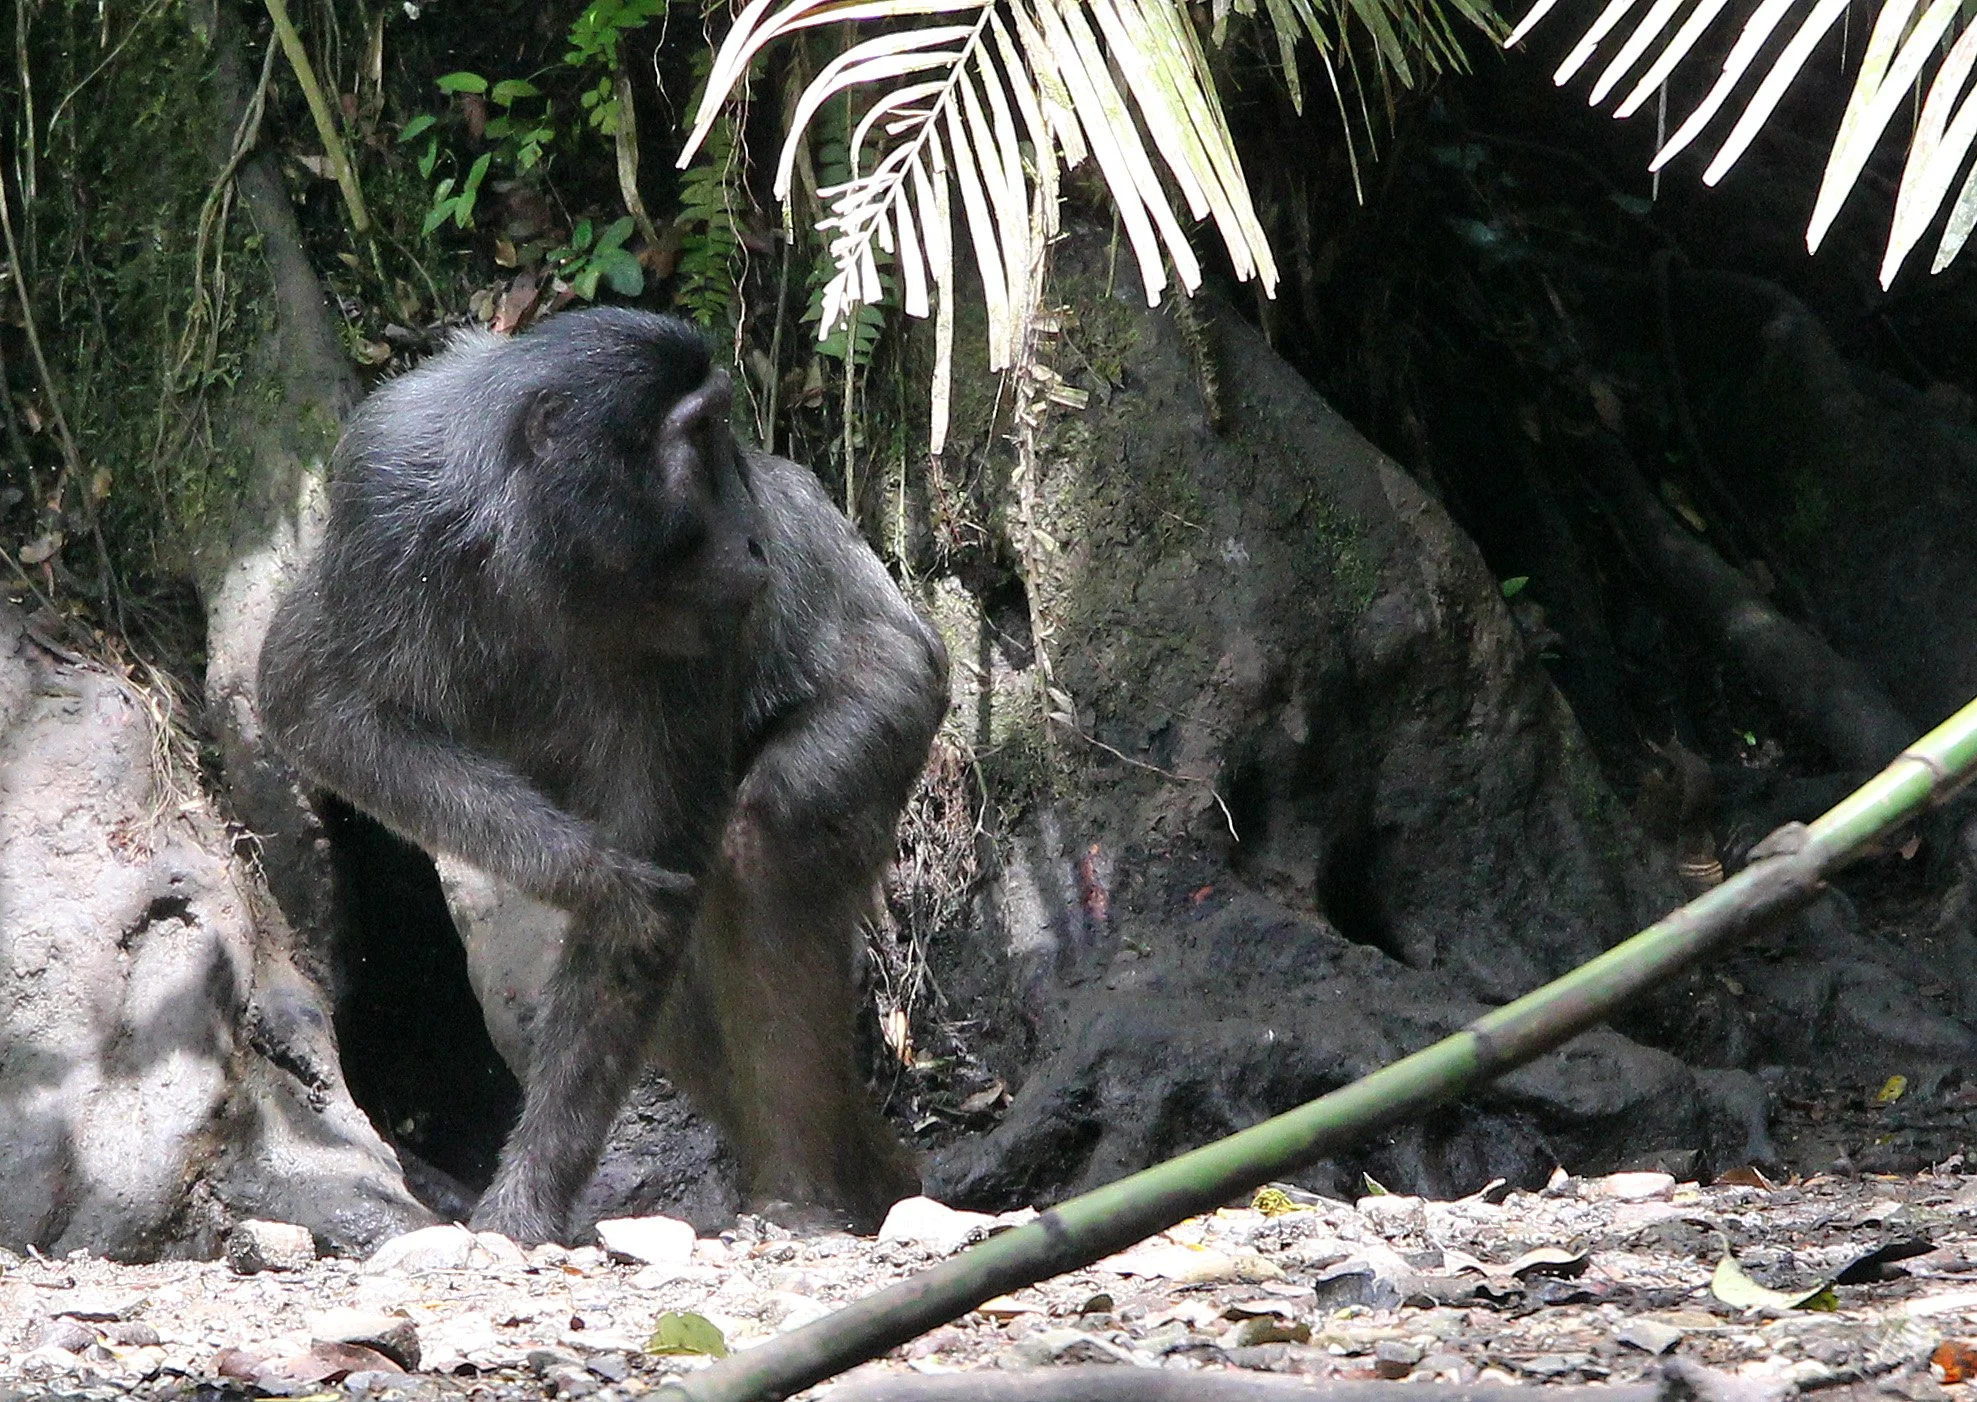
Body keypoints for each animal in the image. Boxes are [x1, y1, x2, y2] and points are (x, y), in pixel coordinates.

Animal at [257, 307, 949, 1244]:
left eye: (722, 430)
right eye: (699, 436)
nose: (751, 535)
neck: (536, 542)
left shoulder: (699, 625)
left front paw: (526, 1198)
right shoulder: (384, 506)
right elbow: (311, 700)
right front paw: (586, 872)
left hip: (901, 675)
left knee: (772, 833)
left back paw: (812, 1187)